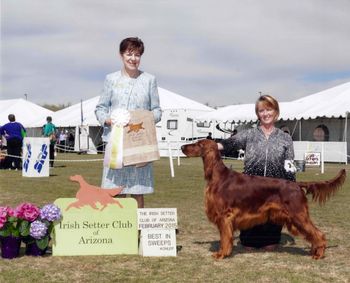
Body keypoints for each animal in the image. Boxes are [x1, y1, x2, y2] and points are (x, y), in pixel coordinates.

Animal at [182, 139, 346, 260]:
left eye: (198, 144)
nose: (182, 146)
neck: (218, 176)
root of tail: (296, 184)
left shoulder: (224, 216)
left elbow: (225, 239)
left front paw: (221, 254)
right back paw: (315, 251)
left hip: (298, 215)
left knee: (319, 234)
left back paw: (319, 254)